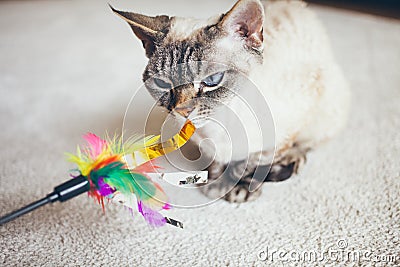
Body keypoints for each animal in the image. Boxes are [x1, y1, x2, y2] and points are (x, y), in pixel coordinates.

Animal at [110, 0, 350, 203]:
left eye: (212, 80)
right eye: (162, 83)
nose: (182, 111)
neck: (219, 125)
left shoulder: (284, 131)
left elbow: (251, 162)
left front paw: (239, 186)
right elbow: (218, 161)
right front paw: (215, 181)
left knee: (308, 143)